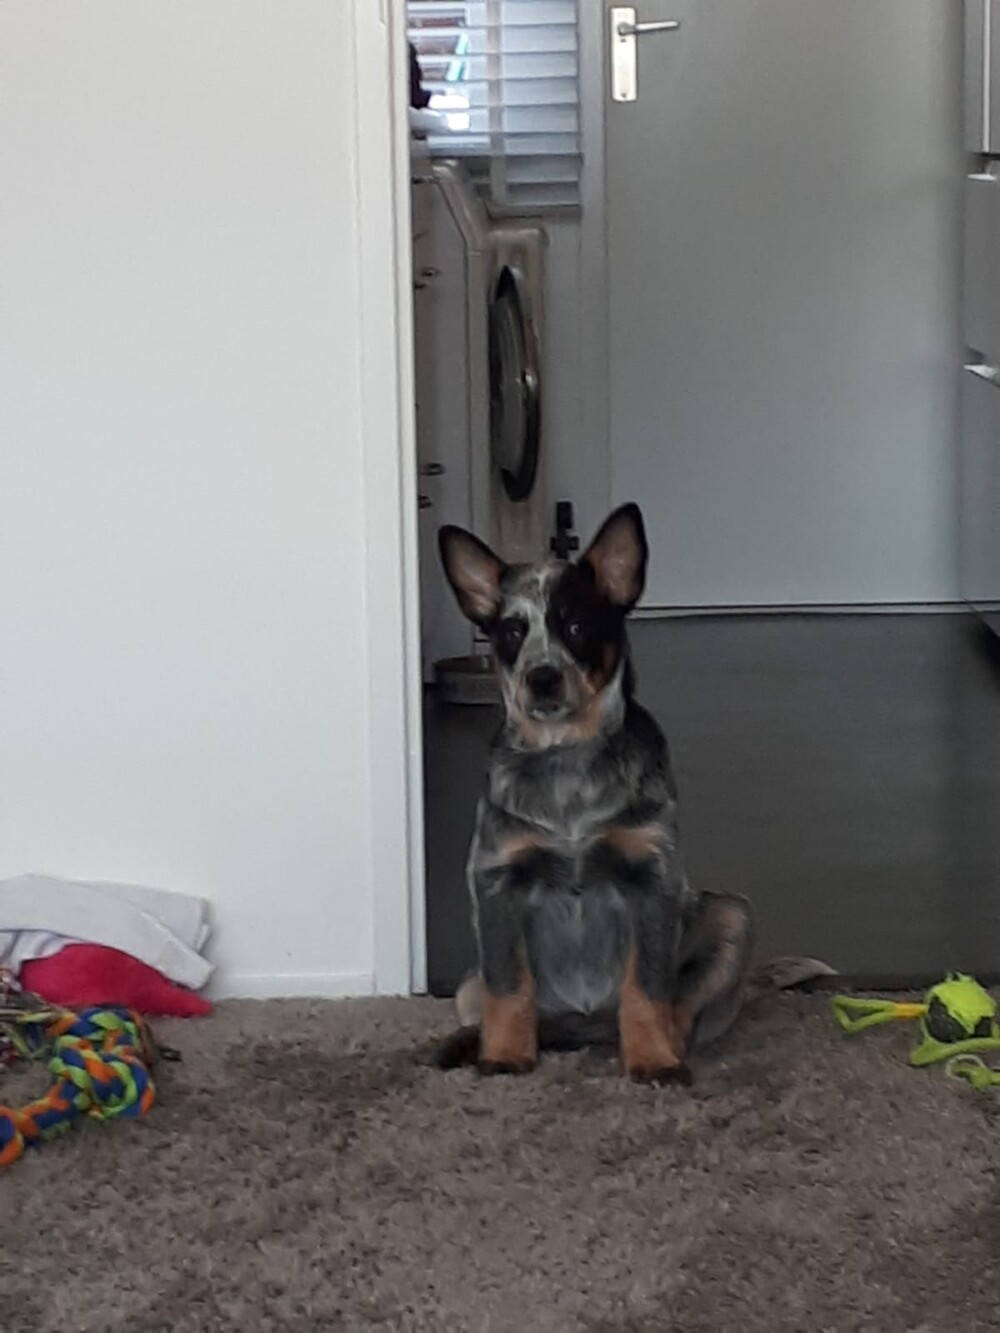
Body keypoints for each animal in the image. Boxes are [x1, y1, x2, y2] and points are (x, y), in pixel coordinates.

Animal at [435, 503, 753, 1082]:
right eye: (511, 632)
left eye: (577, 625)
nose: (541, 678)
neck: (568, 763)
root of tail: (582, 1031)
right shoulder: (496, 881)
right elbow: (508, 990)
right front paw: (504, 1058)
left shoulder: (652, 879)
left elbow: (647, 989)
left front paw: (653, 1061)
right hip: (467, 983)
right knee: (483, 1001)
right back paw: (466, 1045)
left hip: (732, 915)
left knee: (681, 1007)